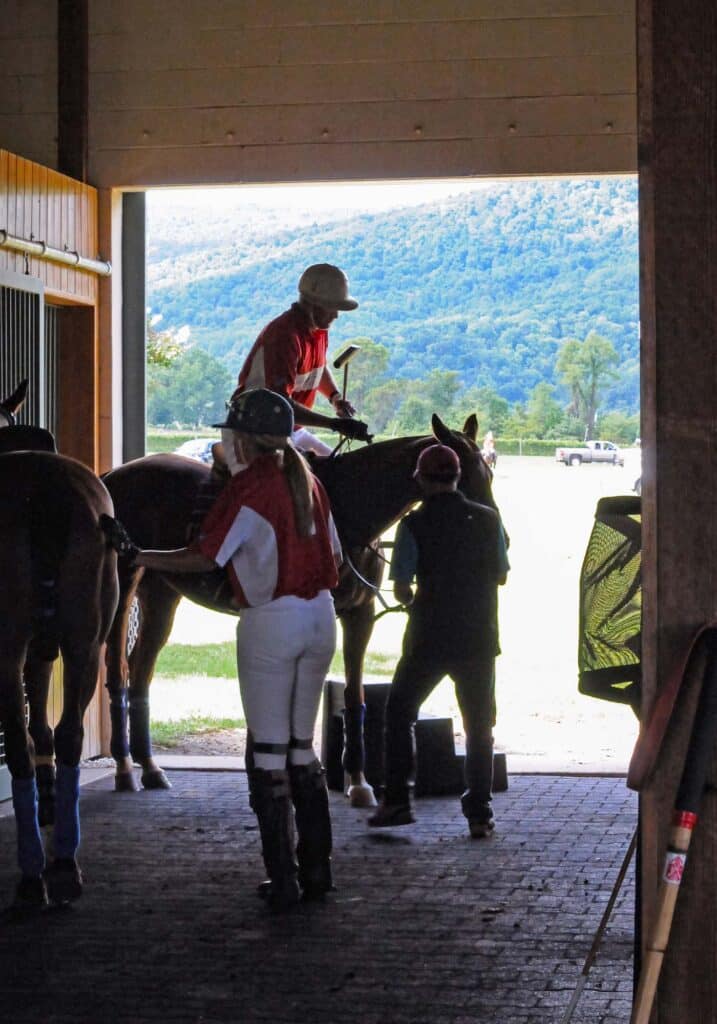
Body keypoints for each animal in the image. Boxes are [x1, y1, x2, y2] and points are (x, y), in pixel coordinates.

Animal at [96, 411, 497, 802]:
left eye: (489, 472)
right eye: (462, 476)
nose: (498, 535)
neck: (349, 510)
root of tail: (111, 476)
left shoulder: (360, 614)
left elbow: (353, 697)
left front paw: (358, 782)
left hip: (161, 595)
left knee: (141, 672)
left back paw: (150, 767)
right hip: (123, 585)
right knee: (118, 669)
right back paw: (124, 767)